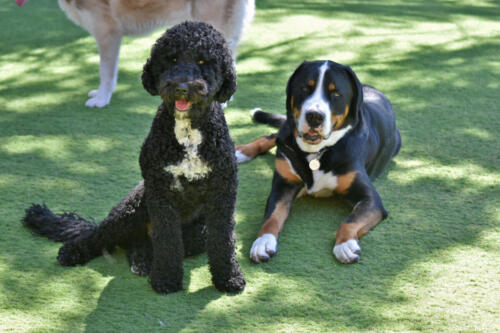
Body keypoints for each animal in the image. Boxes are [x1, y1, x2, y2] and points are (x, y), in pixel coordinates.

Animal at [22, 21, 245, 294]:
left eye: (204, 61)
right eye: (171, 59)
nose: (182, 87)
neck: (187, 133)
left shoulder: (223, 193)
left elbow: (223, 240)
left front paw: (228, 278)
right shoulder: (159, 192)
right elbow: (168, 240)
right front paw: (166, 279)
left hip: (198, 231)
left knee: (146, 244)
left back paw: (142, 260)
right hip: (132, 209)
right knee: (99, 236)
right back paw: (74, 251)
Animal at [235, 59, 402, 262]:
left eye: (336, 93)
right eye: (305, 88)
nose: (314, 116)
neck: (317, 152)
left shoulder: (370, 199)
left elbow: (350, 221)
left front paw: (345, 244)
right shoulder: (283, 185)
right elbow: (271, 216)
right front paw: (263, 241)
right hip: (285, 133)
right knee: (272, 136)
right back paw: (243, 151)